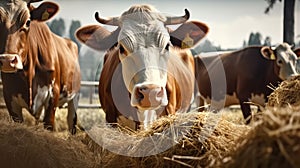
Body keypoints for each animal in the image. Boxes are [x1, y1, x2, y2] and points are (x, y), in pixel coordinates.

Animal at [0, 0, 81, 134]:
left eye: (28, 21)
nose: (7, 60)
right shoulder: (9, 97)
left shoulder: (53, 94)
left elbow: (49, 124)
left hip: (75, 95)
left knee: (71, 120)